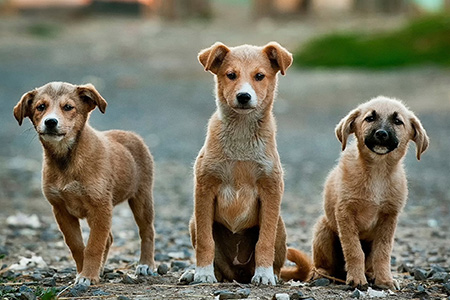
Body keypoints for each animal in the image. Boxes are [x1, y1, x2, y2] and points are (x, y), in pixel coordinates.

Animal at [12, 82, 156, 286]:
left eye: (68, 107)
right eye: (41, 107)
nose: (50, 122)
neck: (67, 160)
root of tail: (131, 135)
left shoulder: (100, 207)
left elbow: (94, 245)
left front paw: (87, 275)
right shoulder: (61, 210)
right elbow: (77, 245)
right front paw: (84, 272)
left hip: (141, 198)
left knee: (147, 231)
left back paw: (146, 264)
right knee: (109, 238)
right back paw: (101, 269)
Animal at [312, 97, 430, 290]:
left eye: (398, 121)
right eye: (370, 118)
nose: (381, 134)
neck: (377, 172)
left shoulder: (389, 217)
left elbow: (382, 252)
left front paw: (385, 280)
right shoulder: (345, 213)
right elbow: (353, 250)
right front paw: (356, 279)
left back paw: (371, 274)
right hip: (323, 230)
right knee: (322, 264)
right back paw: (321, 274)